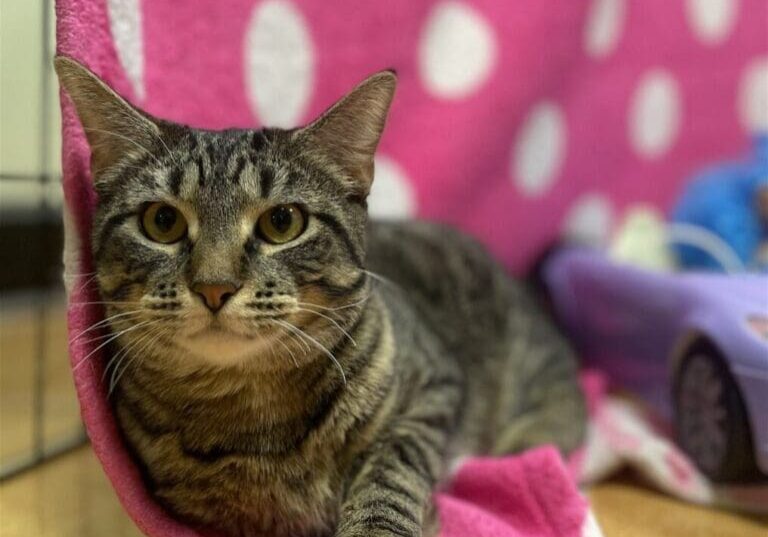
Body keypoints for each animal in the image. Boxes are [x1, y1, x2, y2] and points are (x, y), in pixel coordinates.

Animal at [57, 56, 584, 532]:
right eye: (162, 221)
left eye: (282, 221)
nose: (214, 286)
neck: (248, 410)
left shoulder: (435, 389)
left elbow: (394, 466)